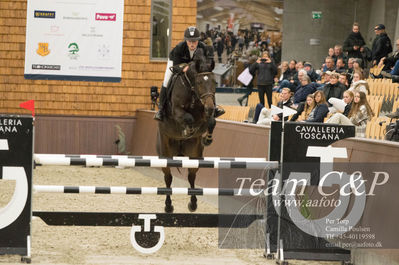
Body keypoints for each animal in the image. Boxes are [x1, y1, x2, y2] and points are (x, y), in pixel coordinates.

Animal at [157, 50, 219, 213]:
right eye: (199, 83)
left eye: (215, 82)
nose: (210, 107)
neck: (191, 90)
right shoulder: (177, 112)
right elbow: (188, 118)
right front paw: (188, 130)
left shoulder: (204, 115)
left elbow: (211, 121)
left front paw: (207, 139)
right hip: (165, 154)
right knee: (168, 178)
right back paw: (168, 206)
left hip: (194, 154)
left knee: (191, 177)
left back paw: (193, 203)